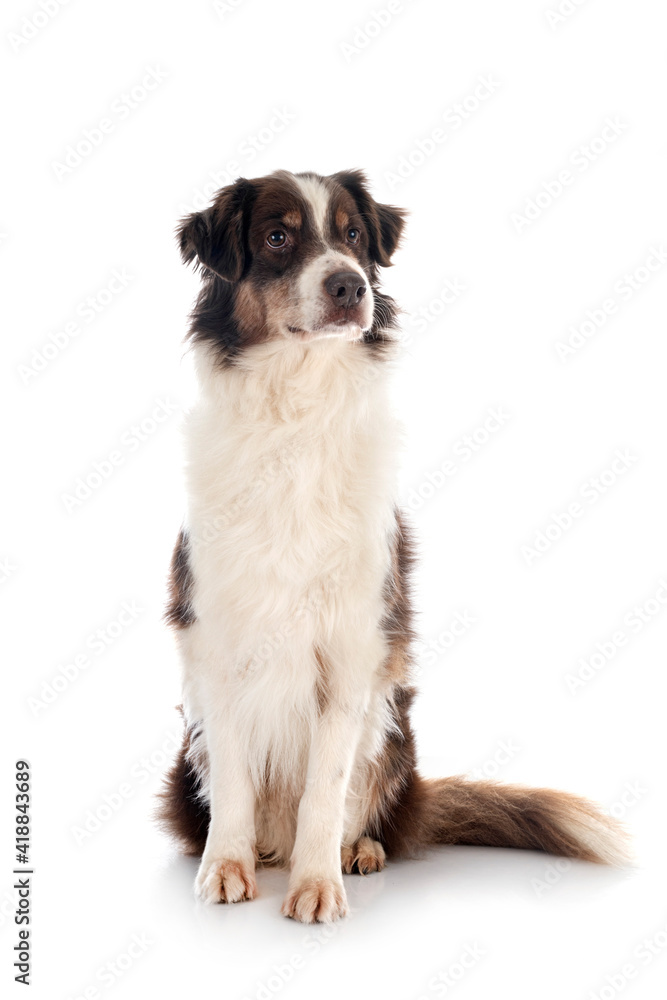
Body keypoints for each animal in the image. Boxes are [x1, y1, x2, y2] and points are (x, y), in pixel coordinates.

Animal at [159, 168, 628, 924]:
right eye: (278, 237)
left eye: (353, 235)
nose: (351, 286)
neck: (296, 407)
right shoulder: (215, 639)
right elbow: (231, 777)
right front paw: (224, 866)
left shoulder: (353, 648)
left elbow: (326, 788)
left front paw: (317, 884)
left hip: (391, 721)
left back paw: (358, 851)